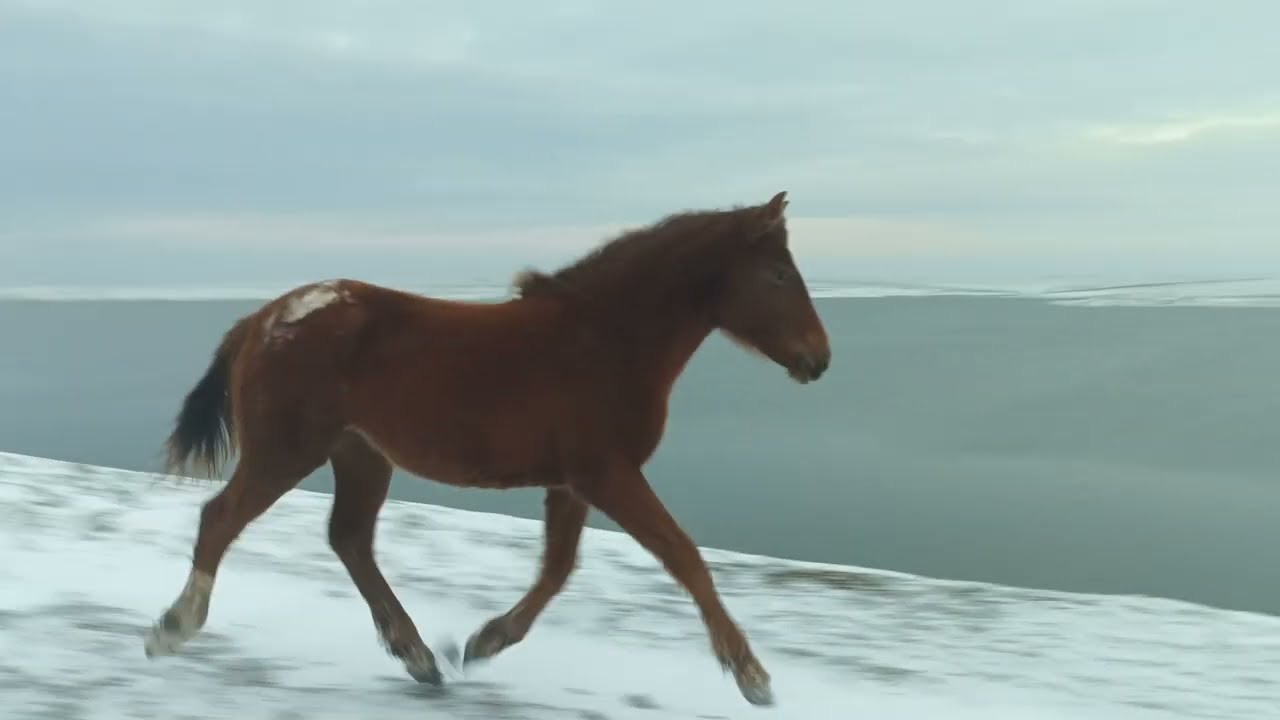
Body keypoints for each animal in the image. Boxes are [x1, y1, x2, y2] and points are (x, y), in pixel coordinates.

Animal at [142, 191, 831, 707]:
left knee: (350, 539)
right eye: (778, 273)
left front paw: (484, 642)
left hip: (360, 454)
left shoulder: (572, 482)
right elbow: (684, 557)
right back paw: (173, 628)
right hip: (288, 450)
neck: (605, 341)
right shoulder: (607, 474)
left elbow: (558, 569)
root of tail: (258, 320)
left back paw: (420, 657)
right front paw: (752, 677)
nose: (819, 359)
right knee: (223, 518)